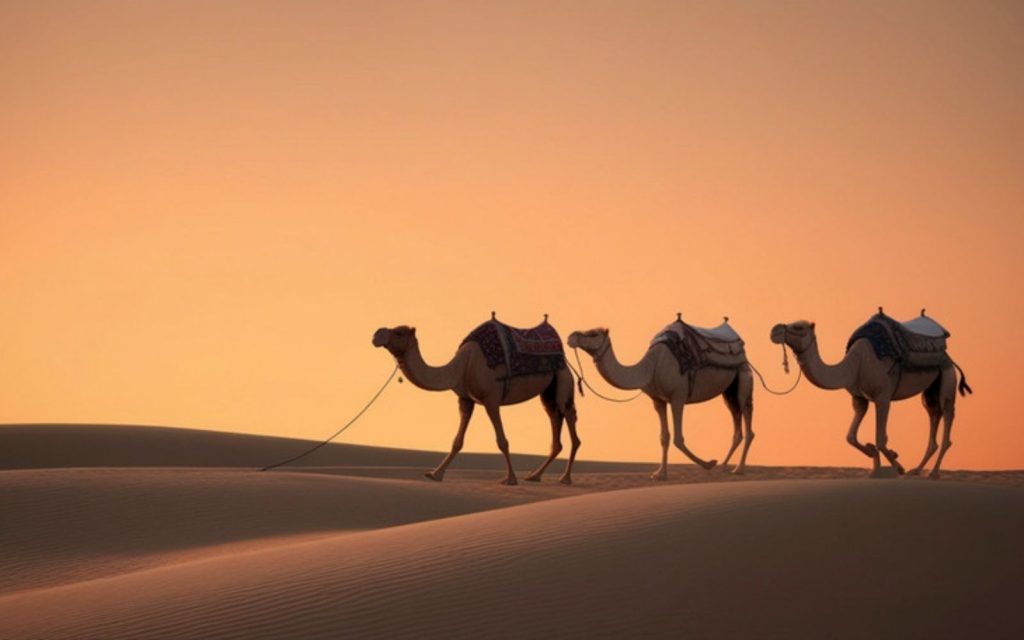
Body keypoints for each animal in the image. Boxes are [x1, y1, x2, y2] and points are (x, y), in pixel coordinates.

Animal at [372, 323, 580, 485]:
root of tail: (565, 359)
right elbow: (457, 441)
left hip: (563, 380)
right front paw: (435, 474)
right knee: (555, 419)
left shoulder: (491, 399)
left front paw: (510, 479)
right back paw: (535, 476)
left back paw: (565, 478)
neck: (464, 365)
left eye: (399, 332)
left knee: (568, 415)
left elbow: (502, 441)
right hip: (548, 392)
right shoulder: (465, 400)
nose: (377, 334)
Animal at [567, 319, 755, 478]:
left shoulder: (677, 397)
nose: (571, 337)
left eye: (593, 334)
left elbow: (678, 438)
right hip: (729, 391)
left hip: (744, 377)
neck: (651, 367)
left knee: (747, 419)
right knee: (736, 423)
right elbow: (664, 437)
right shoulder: (658, 400)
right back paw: (724, 466)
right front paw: (660, 474)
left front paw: (708, 463)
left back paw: (738, 469)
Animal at [770, 316, 971, 478]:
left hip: (947, 375)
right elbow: (851, 436)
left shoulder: (883, 396)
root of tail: (948, 357)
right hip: (930, 389)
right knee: (933, 413)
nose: (774, 331)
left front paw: (897, 465)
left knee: (946, 412)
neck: (855, 364)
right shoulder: (859, 398)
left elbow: (881, 438)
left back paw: (933, 473)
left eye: (798, 327)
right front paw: (873, 461)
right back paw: (917, 470)